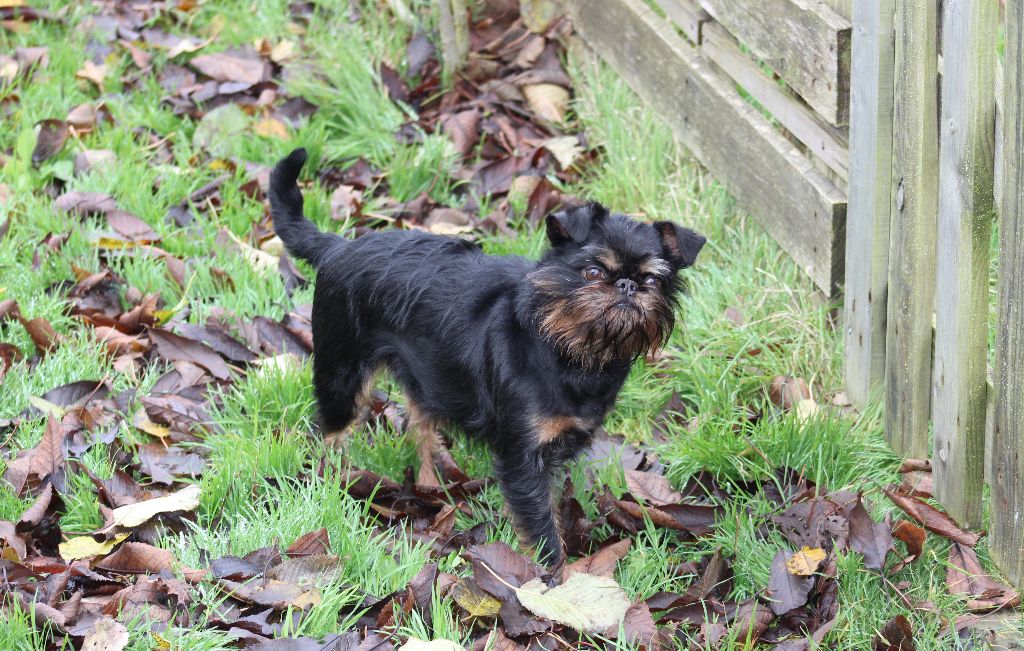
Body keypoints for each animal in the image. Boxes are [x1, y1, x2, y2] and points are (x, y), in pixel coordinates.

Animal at [268, 147, 708, 565]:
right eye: (594, 273)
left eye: (652, 280)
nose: (628, 285)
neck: (568, 351)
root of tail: (340, 247)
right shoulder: (523, 458)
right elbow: (541, 526)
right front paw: (555, 579)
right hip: (341, 372)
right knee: (329, 431)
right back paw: (331, 481)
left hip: (427, 373)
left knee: (420, 421)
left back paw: (433, 481)